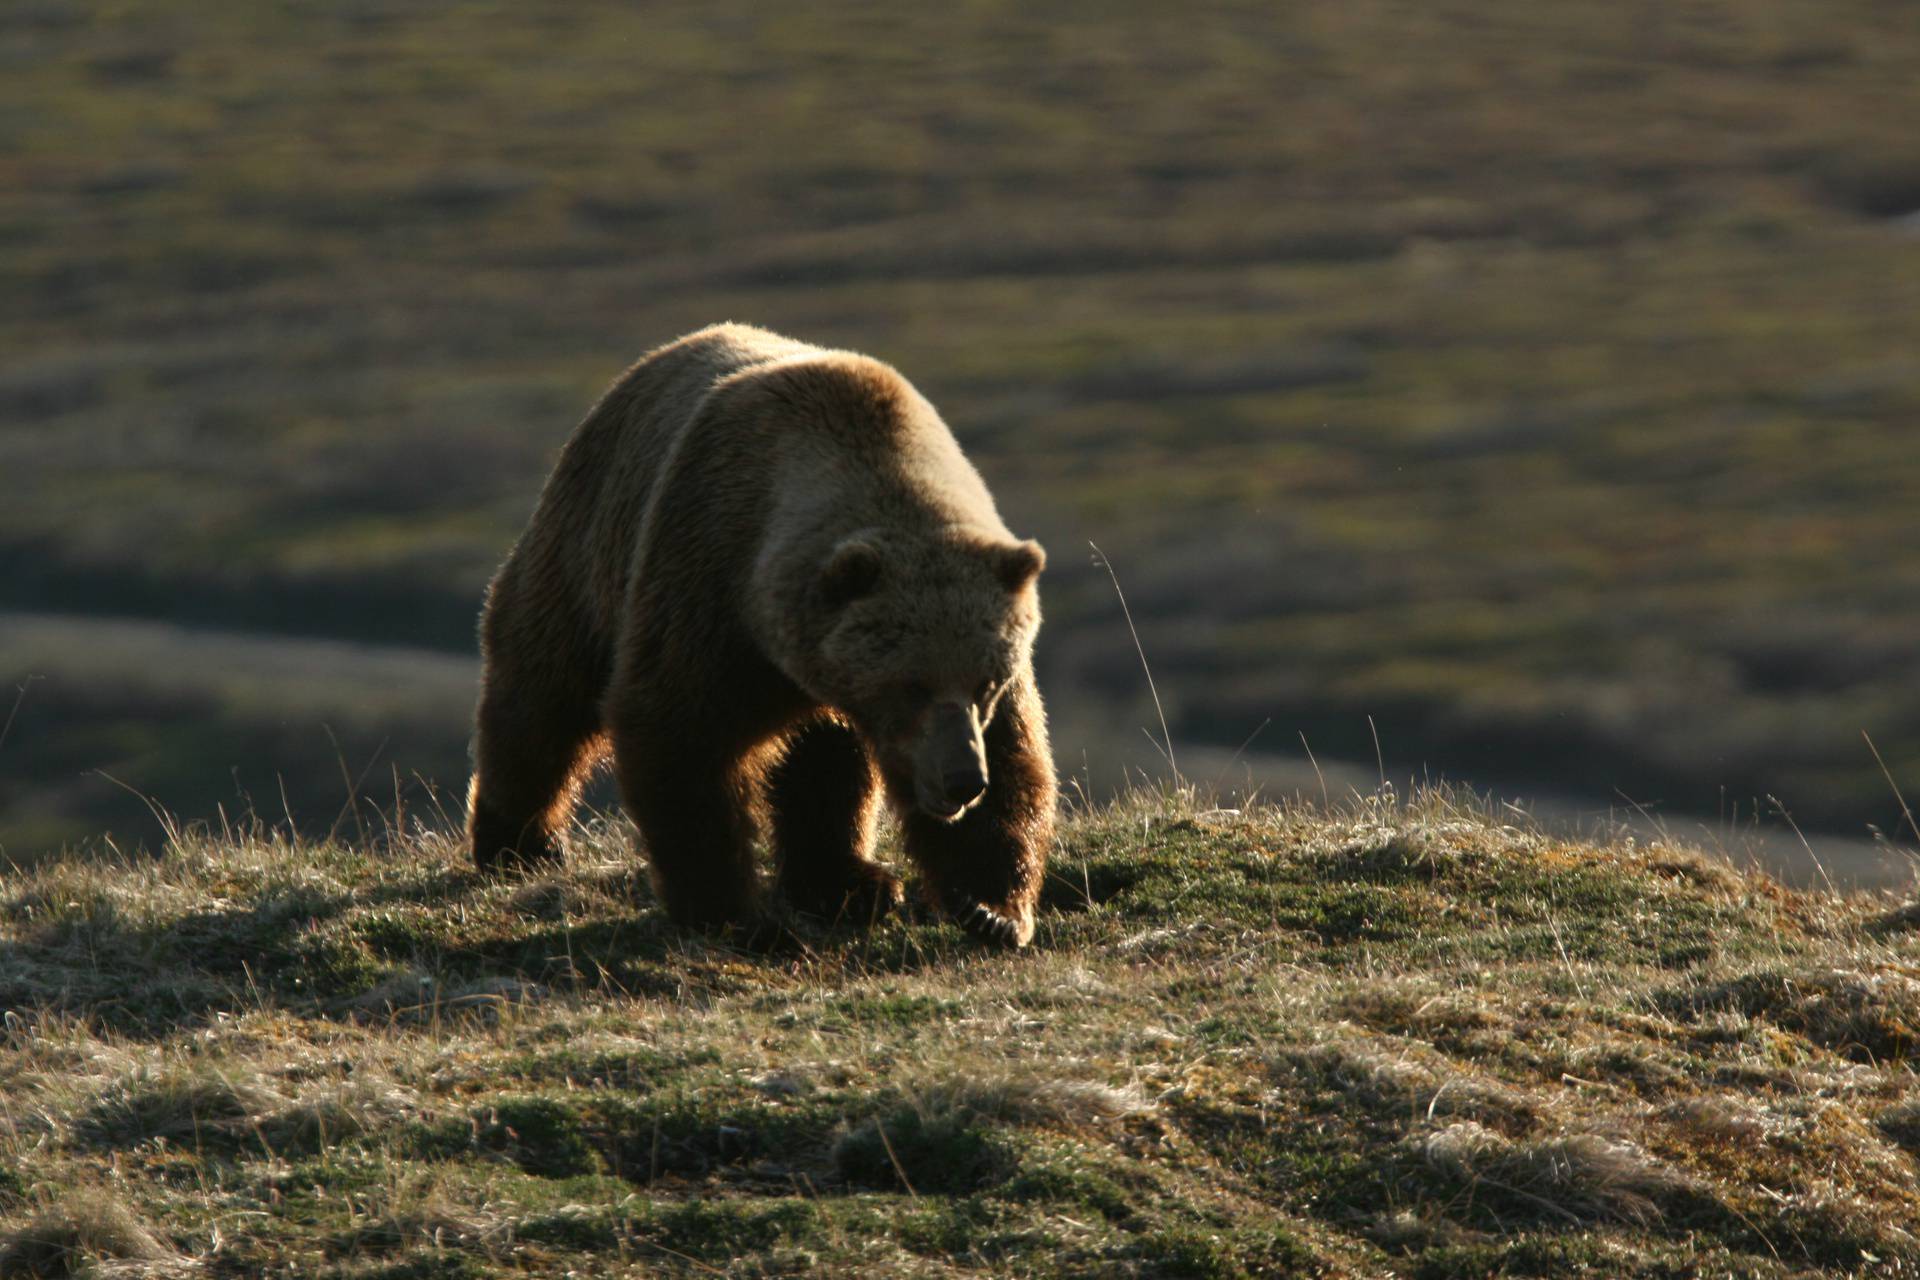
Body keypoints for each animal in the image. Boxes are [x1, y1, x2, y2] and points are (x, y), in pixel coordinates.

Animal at [470, 322, 1059, 940]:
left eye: (985, 683)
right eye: (910, 685)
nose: (961, 779)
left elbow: (1012, 756)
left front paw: (991, 909)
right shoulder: (708, 585)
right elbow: (678, 733)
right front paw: (735, 915)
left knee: (824, 764)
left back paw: (848, 883)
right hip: (587, 545)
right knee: (540, 696)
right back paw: (519, 844)